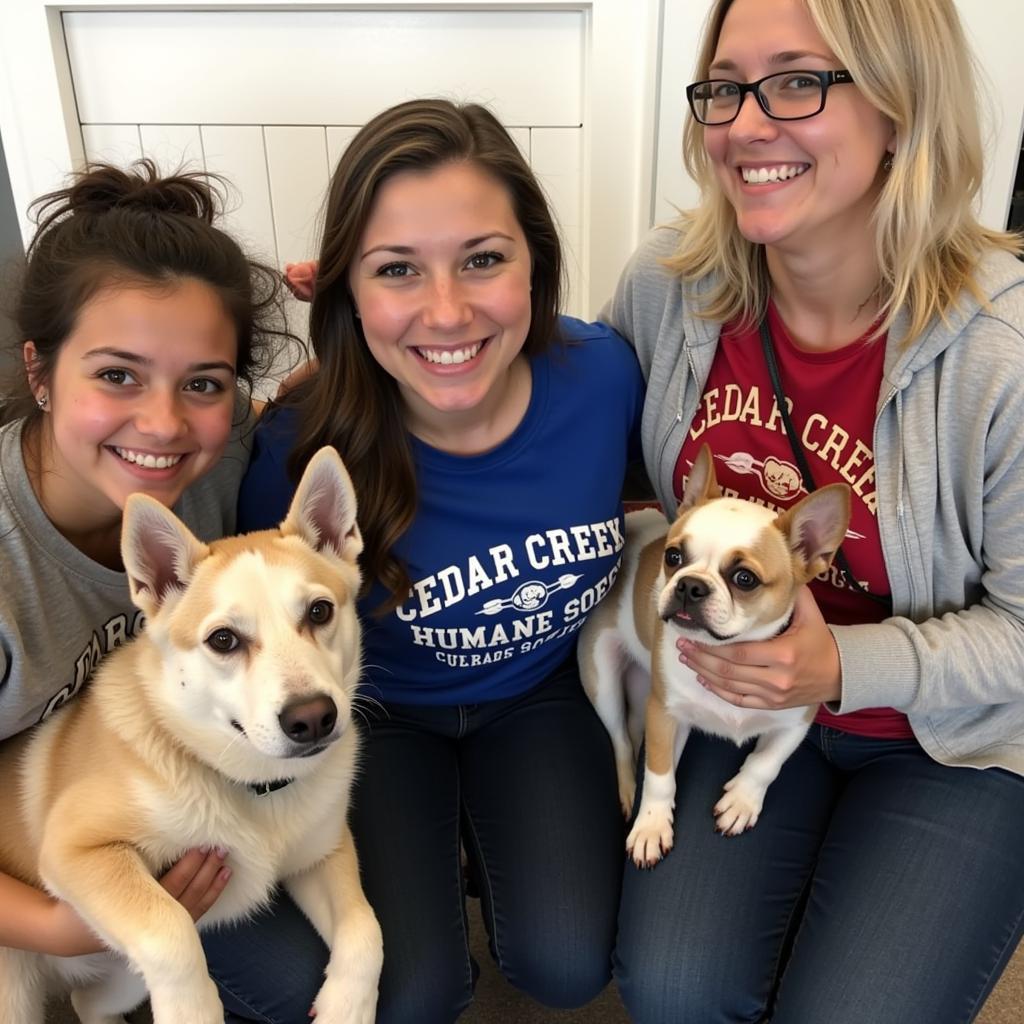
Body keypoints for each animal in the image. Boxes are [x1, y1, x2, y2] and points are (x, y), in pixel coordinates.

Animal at [0, 448, 382, 1024]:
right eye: (223, 640)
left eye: (319, 611)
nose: (313, 718)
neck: (254, 787)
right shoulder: (75, 850)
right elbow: (172, 933)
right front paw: (195, 1008)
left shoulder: (323, 853)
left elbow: (366, 931)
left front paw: (347, 1007)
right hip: (18, 988)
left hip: (119, 977)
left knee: (86, 1000)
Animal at [581, 444, 851, 868]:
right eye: (673, 556)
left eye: (745, 579)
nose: (690, 585)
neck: (726, 648)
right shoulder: (665, 714)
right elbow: (659, 775)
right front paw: (651, 825)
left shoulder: (797, 719)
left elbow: (767, 762)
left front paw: (742, 799)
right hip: (602, 675)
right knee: (621, 739)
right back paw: (627, 791)